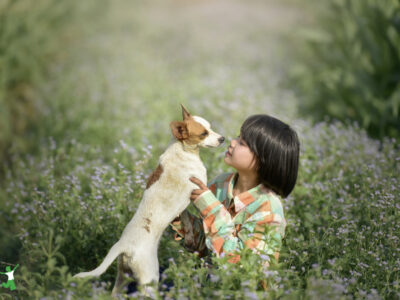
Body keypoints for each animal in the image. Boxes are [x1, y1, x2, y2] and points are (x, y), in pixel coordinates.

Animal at [74, 105, 225, 296]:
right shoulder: (197, 190)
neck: (182, 149)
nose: (222, 138)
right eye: (203, 133)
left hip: (122, 279)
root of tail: (123, 245)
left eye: (210, 128)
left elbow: (186, 221)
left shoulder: (183, 208)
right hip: (150, 280)